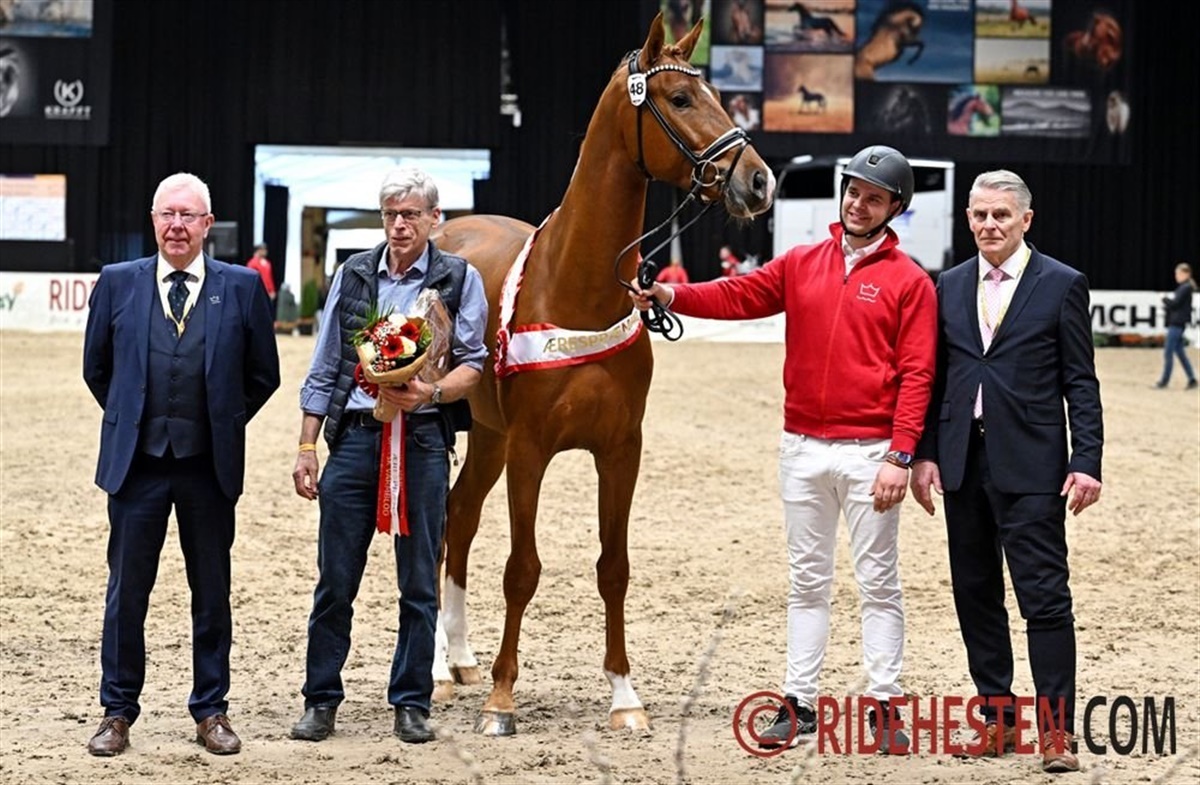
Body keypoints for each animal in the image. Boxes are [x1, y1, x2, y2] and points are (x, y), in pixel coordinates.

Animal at [429, 12, 775, 736]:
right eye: (681, 99)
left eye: (717, 95)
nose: (759, 182)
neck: (578, 287)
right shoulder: (532, 450)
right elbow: (522, 569)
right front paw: (502, 700)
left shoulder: (620, 450)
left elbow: (613, 568)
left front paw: (624, 694)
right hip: (485, 437)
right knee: (446, 526)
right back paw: (444, 671)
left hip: (490, 436)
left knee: (460, 516)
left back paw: (461, 658)